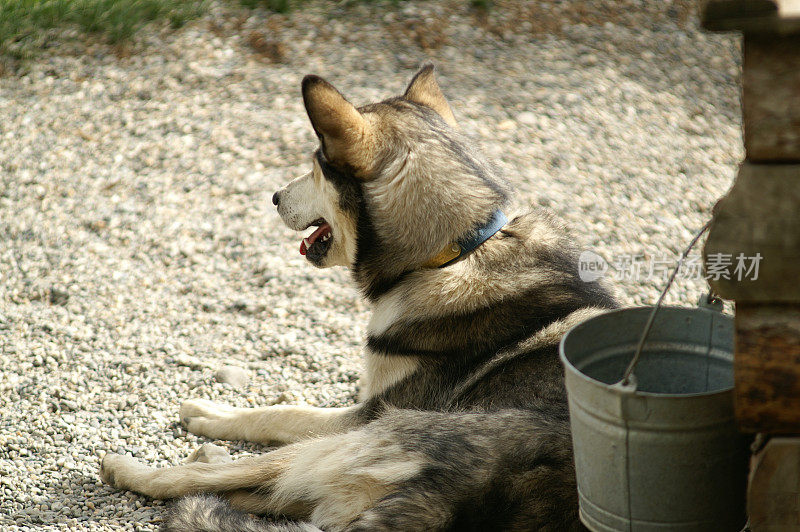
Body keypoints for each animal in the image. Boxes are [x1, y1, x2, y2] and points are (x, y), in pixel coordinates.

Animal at [100, 64, 620, 528]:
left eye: (315, 168)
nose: (274, 197)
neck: (454, 253)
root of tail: (454, 499)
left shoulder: (365, 414)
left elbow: (284, 411)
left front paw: (212, 412)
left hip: (364, 437)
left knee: (221, 478)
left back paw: (134, 467)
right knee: (255, 491)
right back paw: (208, 457)